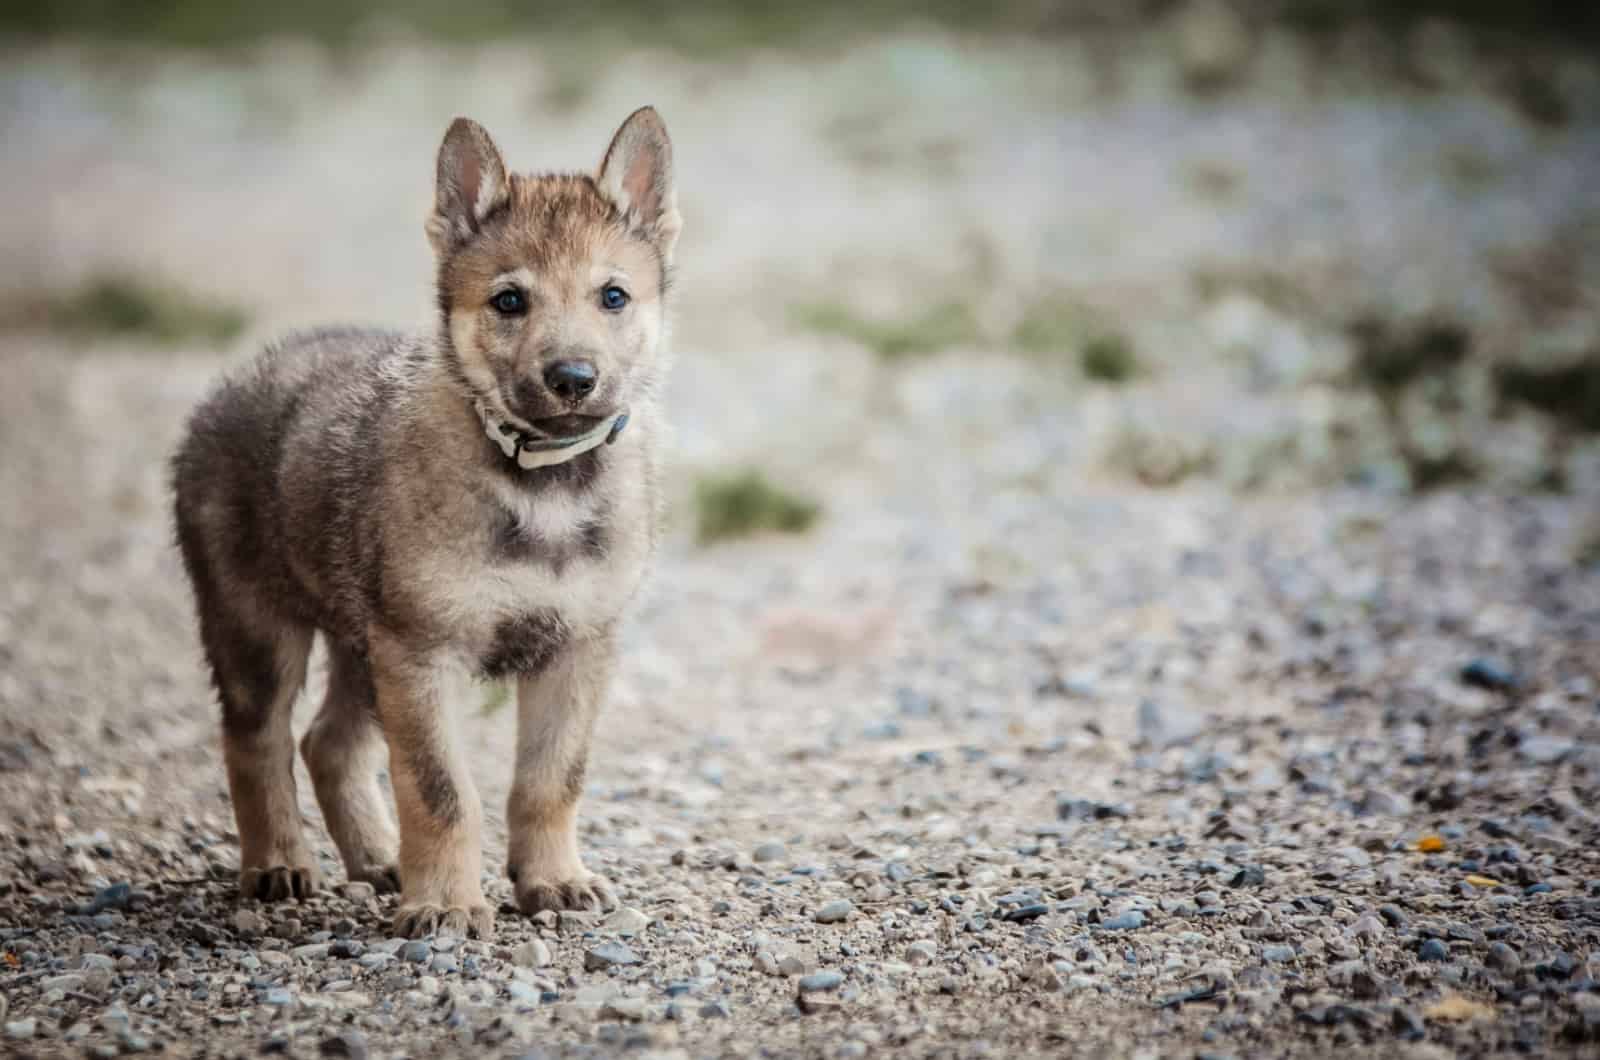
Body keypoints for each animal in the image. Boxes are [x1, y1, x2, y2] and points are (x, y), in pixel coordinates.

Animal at [173, 108, 681, 941]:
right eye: (509, 302)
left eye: (613, 296)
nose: (573, 379)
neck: (539, 486)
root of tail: (234, 381)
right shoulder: (423, 654)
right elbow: (441, 792)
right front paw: (445, 904)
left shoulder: (576, 649)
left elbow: (551, 781)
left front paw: (554, 881)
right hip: (257, 631)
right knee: (258, 741)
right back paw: (277, 864)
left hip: (359, 643)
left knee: (327, 743)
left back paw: (380, 859)